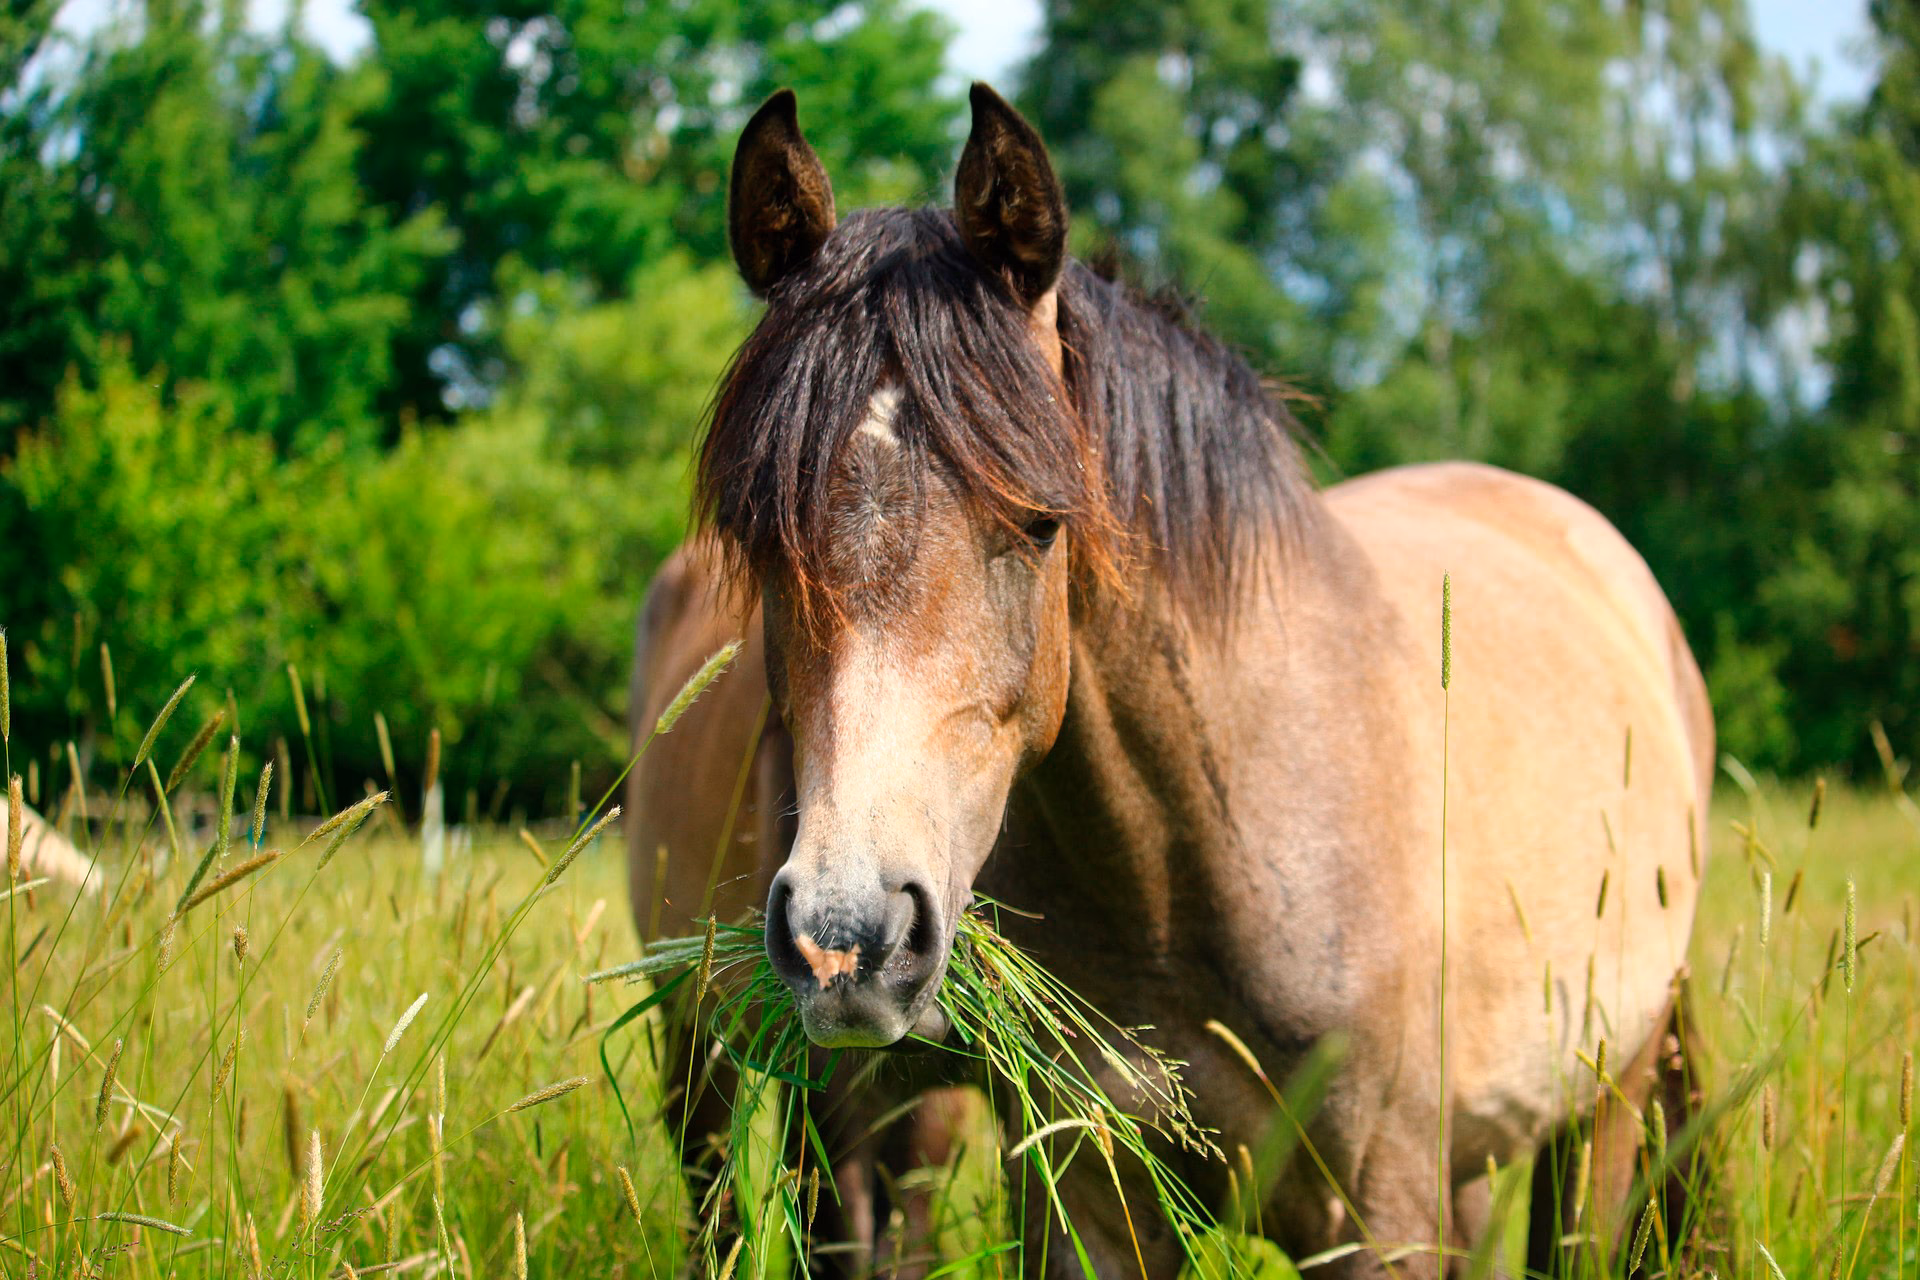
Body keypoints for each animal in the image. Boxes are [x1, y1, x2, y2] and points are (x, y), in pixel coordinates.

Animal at [630, 83, 1712, 1278]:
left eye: (1041, 522)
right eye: (756, 536)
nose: (847, 937)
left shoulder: (1383, 1206)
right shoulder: (1087, 1192)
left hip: (1603, 1110)